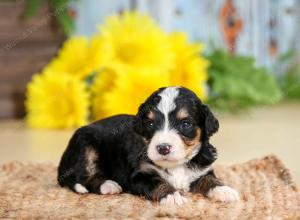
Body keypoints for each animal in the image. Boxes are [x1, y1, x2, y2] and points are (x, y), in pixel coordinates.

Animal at [56, 86, 239, 205]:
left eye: (185, 124)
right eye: (150, 124)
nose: (163, 148)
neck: (176, 165)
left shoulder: (202, 169)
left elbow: (210, 179)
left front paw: (225, 190)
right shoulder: (139, 175)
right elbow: (157, 183)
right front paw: (171, 196)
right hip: (86, 146)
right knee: (83, 177)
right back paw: (109, 185)